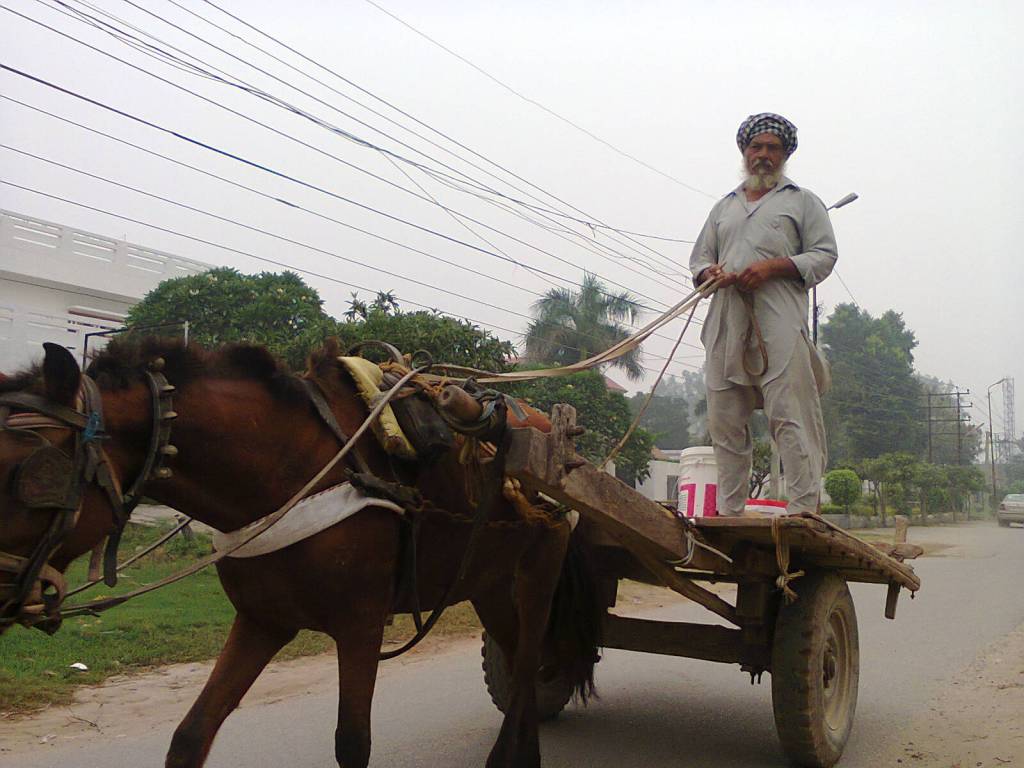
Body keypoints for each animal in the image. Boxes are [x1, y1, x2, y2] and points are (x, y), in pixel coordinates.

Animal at [0, 338, 602, 768]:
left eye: (30, 473)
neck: (286, 472)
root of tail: (549, 431)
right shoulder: (262, 620)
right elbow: (190, 735)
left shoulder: (360, 625)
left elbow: (352, 743)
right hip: (487, 582)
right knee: (519, 662)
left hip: (538, 570)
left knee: (528, 661)